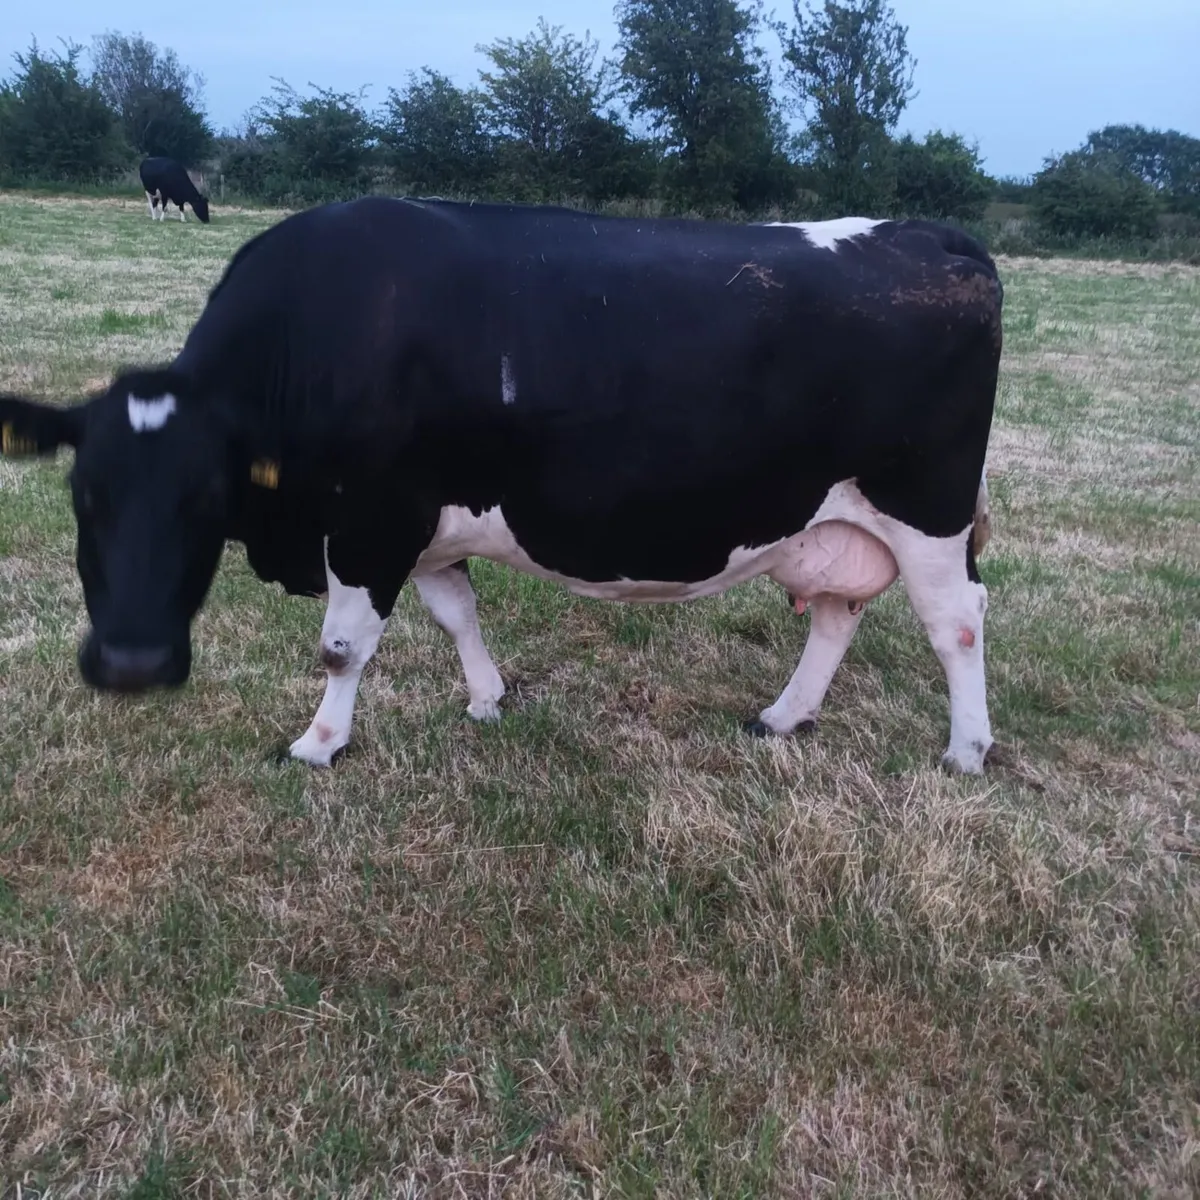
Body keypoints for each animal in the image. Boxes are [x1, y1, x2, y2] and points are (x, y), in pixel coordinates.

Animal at [0, 198, 1003, 773]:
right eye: (84, 498)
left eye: (206, 501)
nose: (129, 665)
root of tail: (934, 234)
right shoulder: (426, 521)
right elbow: (456, 613)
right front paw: (486, 699)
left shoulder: (371, 521)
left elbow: (342, 647)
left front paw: (320, 743)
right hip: (839, 517)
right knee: (839, 611)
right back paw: (784, 717)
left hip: (928, 508)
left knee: (956, 622)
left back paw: (965, 750)